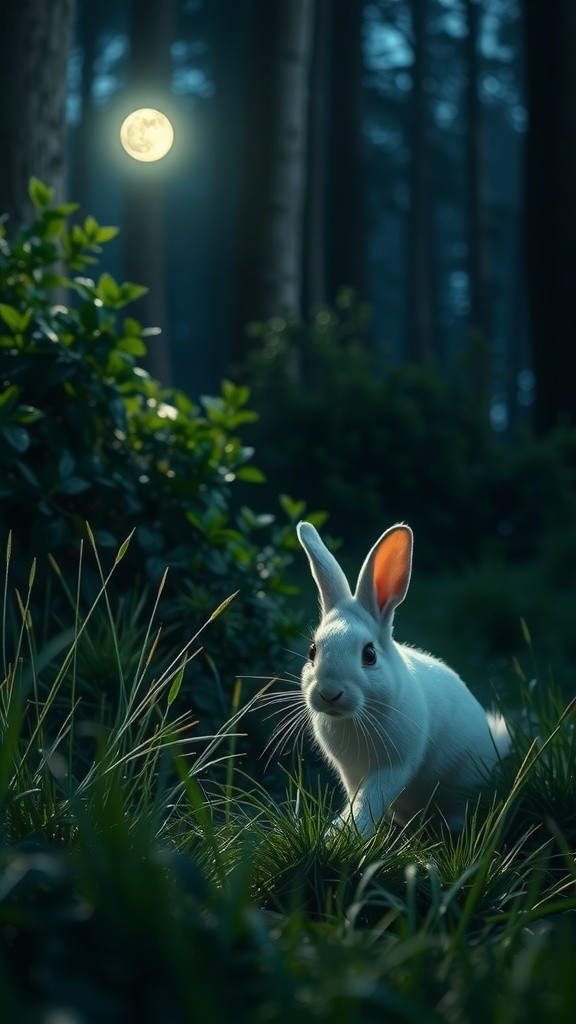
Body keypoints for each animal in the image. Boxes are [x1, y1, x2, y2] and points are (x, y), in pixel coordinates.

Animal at [297, 520, 510, 837]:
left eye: (369, 655)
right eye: (312, 651)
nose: (329, 693)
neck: (358, 716)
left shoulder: (393, 766)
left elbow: (368, 801)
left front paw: (344, 835)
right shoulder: (351, 773)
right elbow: (359, 799)